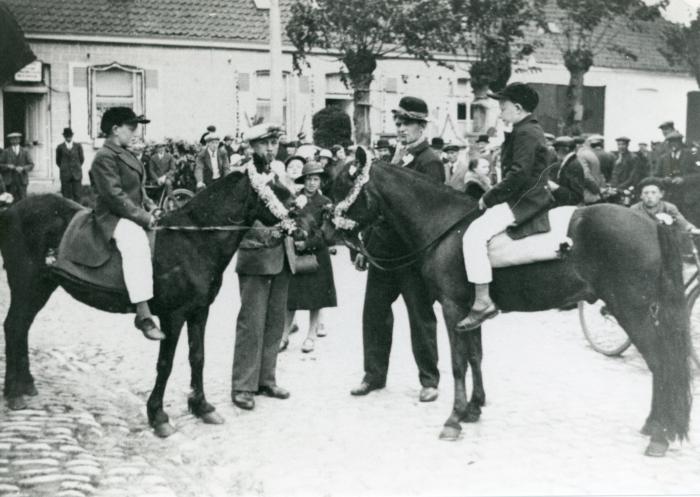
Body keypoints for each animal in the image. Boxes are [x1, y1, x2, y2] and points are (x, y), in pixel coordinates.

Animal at [0, 172, 308, 436]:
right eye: (278, 195)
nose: (305, 230)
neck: (193, 239)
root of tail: (12, 210)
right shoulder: (174, 316)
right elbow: (166, 363)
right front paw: (158, 416)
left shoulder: (199, 311)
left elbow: (198, 357)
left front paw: (202, 406)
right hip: (26, 285)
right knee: (14, 326)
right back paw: (14, 393)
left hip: (41, 287)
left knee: (20, 328)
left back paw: (25, 385)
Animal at [324, 155, 696, 458]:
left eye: (343, 184)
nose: (324, 229)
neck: (446, 224)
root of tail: (653, 224)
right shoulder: (469, 314)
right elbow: (475, 356)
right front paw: (474, 409)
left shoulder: (451, 308)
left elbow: (457, 363)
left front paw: (454, 419)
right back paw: (654, 426)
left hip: (633, 311)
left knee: (662, 363)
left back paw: (660, 437)